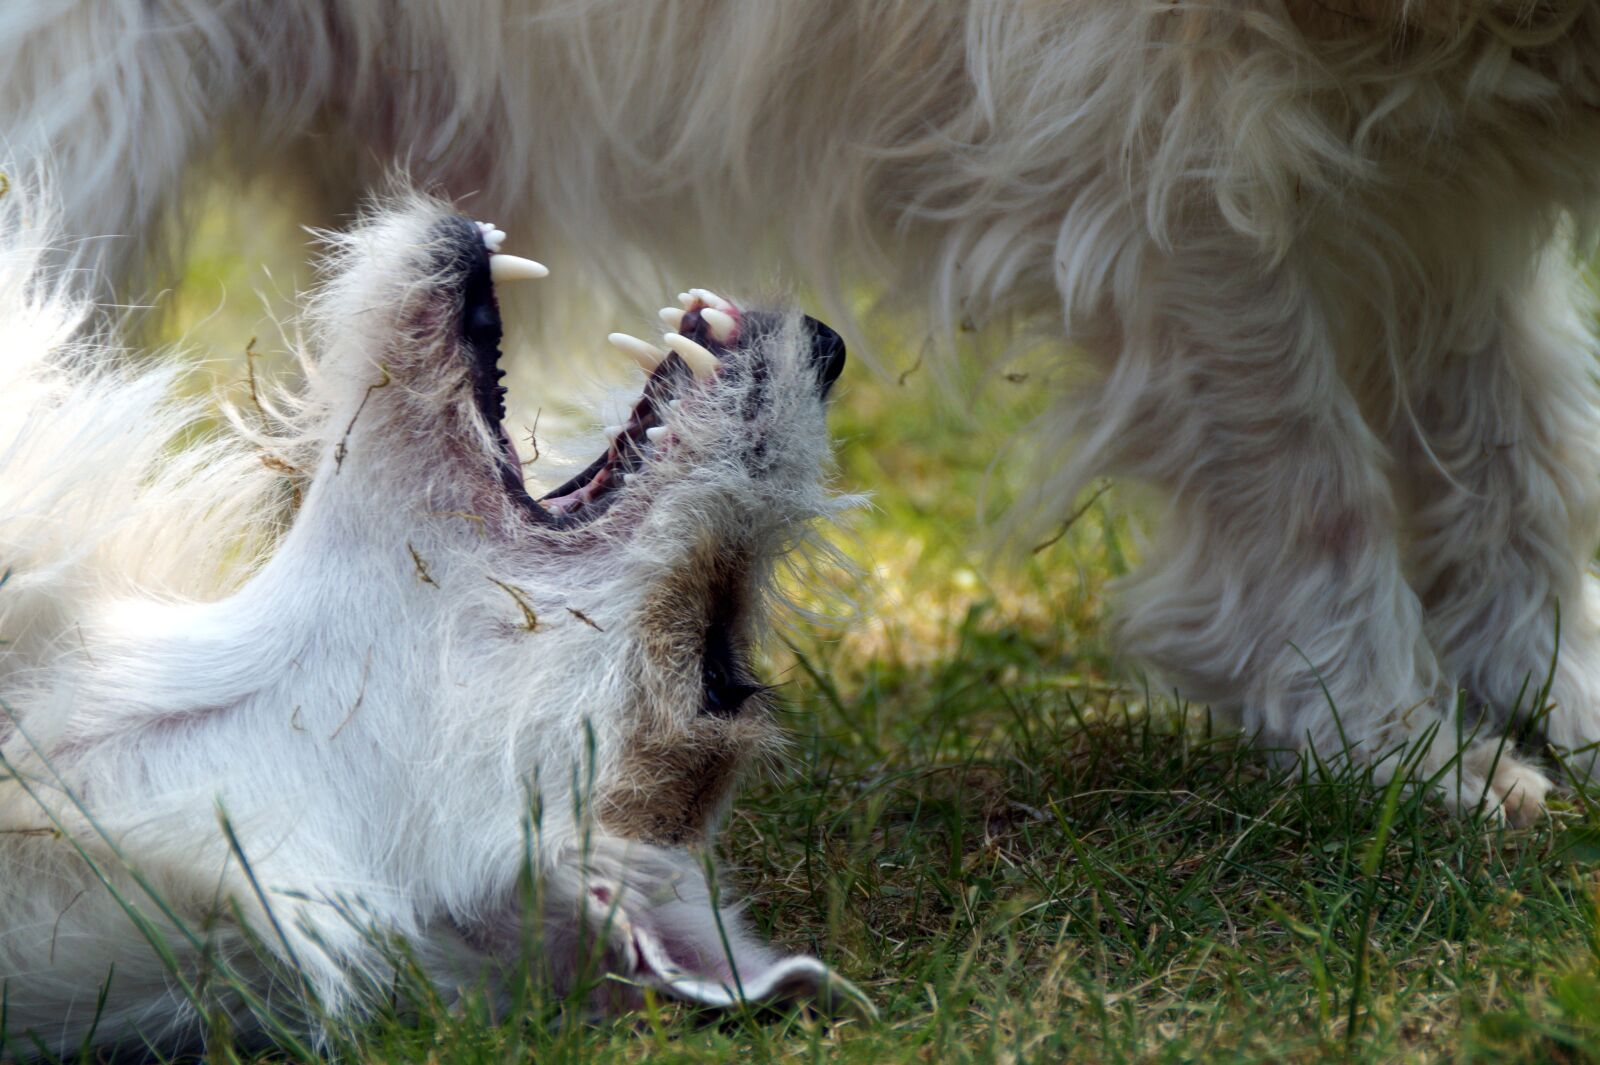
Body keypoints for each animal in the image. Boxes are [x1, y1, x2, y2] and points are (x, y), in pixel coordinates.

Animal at [6, 0, 1593, 818]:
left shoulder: (1430, 191)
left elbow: (1505, 445)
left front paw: (1548, 698)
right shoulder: (1174, 152)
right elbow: (1305, 482)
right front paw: (1401, 748)